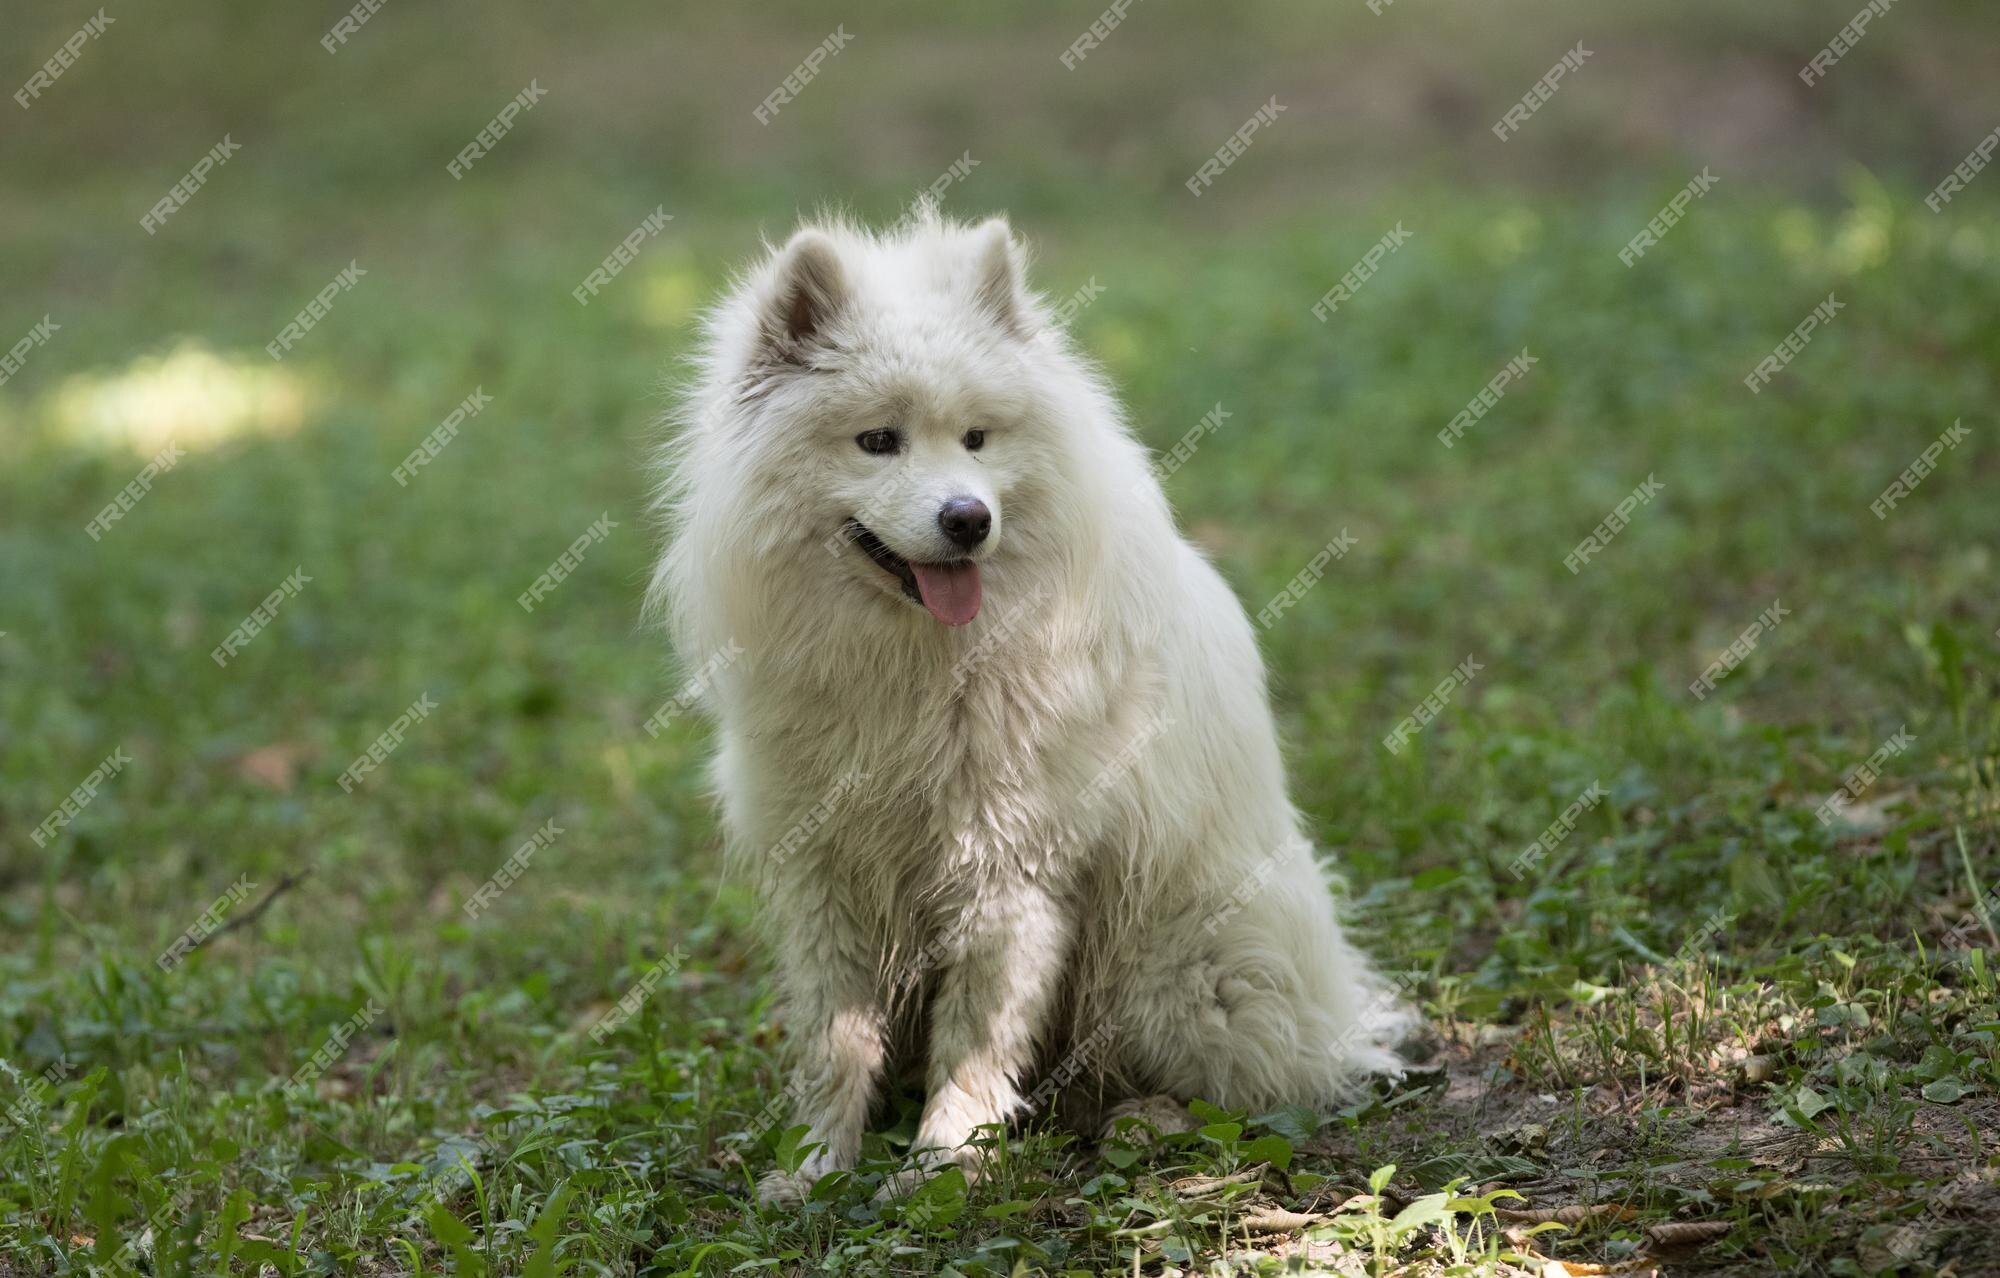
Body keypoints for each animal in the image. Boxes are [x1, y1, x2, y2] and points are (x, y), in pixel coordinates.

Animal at [652, 212, 1408, 1208]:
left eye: (977, 438)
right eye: (877, 441)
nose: (968, 518)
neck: (916, 668)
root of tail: (1346, 1015)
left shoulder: (1008, 870)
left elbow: (973, 1044)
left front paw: (941, 1165)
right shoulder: (825, 867)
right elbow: (834, 1040)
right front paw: (814, 1165)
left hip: (1175, 963)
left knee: (1247, 1083)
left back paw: (1143, 1117)